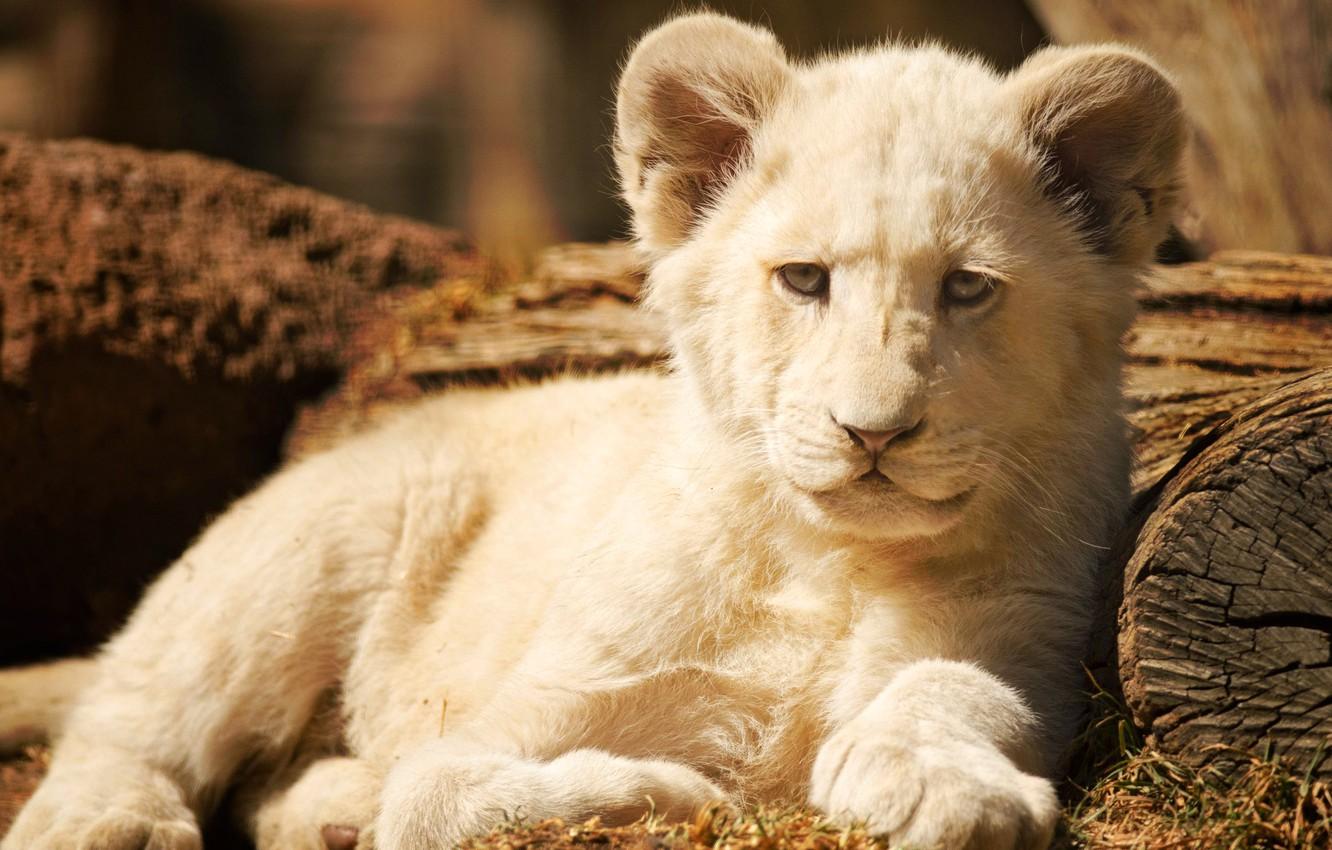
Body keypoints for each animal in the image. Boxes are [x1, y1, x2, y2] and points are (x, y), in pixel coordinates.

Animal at [1, 12, 1183, 850]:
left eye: (968, 287)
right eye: (804, 279)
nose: (874, 432)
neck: (823, 562)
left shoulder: (1027, 633)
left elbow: (954, 688)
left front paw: (940, 785)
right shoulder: (537, 701)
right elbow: (436, 789)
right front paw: (665, 790)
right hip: (295, 558)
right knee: (132, 715)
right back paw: (109, 821)